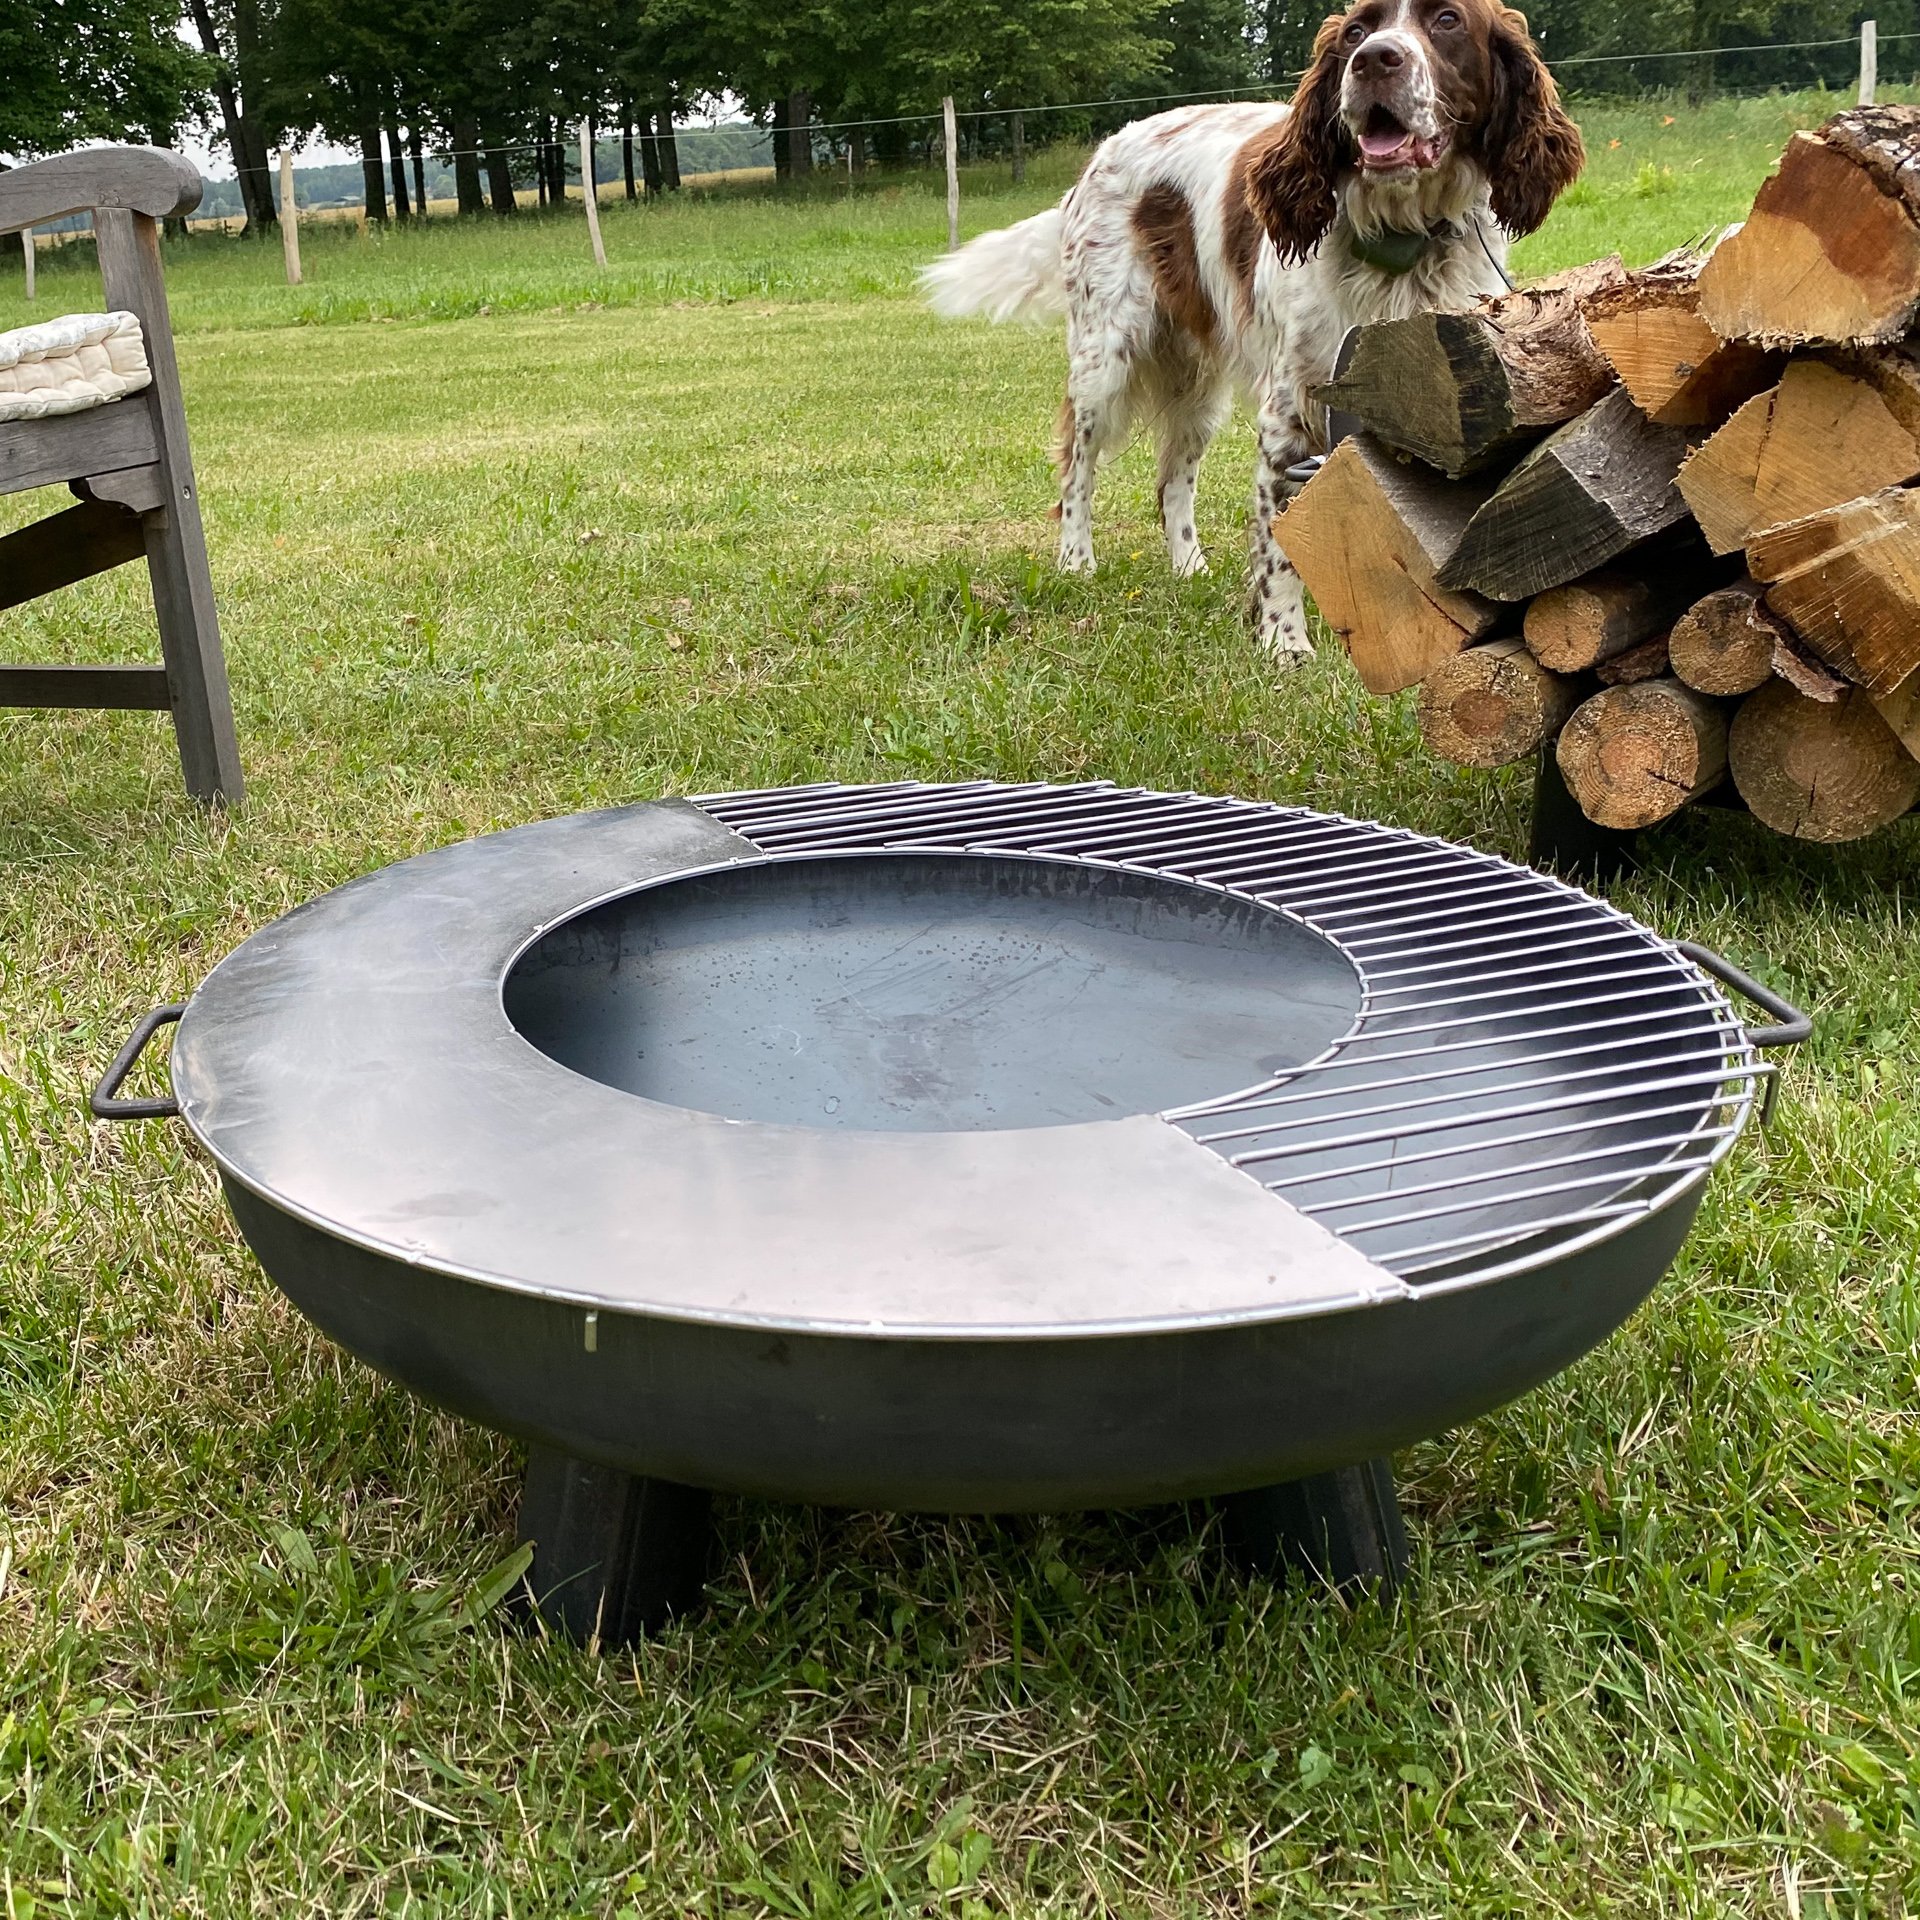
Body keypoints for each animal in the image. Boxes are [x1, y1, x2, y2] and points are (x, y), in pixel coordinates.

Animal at [921, 1, 1582, 660]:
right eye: (1356, 32)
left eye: (1447, 20)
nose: (1374, 61)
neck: (1402, 240)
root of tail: (1097, 157)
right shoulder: (1288, 412)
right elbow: (1280, 544)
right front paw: (1285, 645)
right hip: (1103, 359)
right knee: (1076, 469)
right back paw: (1076, 561)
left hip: (1196, 387)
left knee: (1172, 482)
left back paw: (1189, 568)